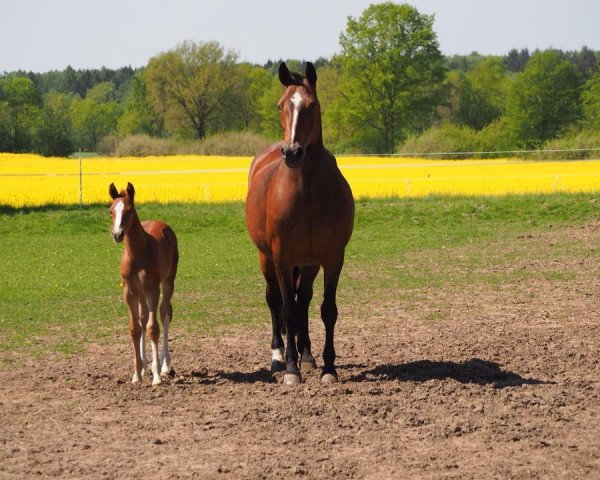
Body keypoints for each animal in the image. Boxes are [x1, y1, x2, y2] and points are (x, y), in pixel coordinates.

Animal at [109, 182, 178, 384]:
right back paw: (145, 364)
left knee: (165, 313)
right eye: (110, 211)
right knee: (142, 318)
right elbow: (135, 328)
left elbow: (152, 328)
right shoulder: (129, 291)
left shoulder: (152, 288)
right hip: (139, 292)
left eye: (129, 210)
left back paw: (165, 366)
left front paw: (156, 376)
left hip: (167, 282)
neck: (137, 254)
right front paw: (137, 373)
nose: (117, 234)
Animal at [245, 62, 354, 386]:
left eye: (312, 105)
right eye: (281, 105)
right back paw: (279, 356)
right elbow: (286, 309)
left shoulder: (331, 258)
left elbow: (326, 310)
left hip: (308, 264)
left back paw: (307, 355)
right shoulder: (282, 257)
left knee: (303, 299)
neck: (306, 193)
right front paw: (291, 370)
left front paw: (328, 368)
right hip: (266, 258)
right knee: (275, 300)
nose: (292, 152)